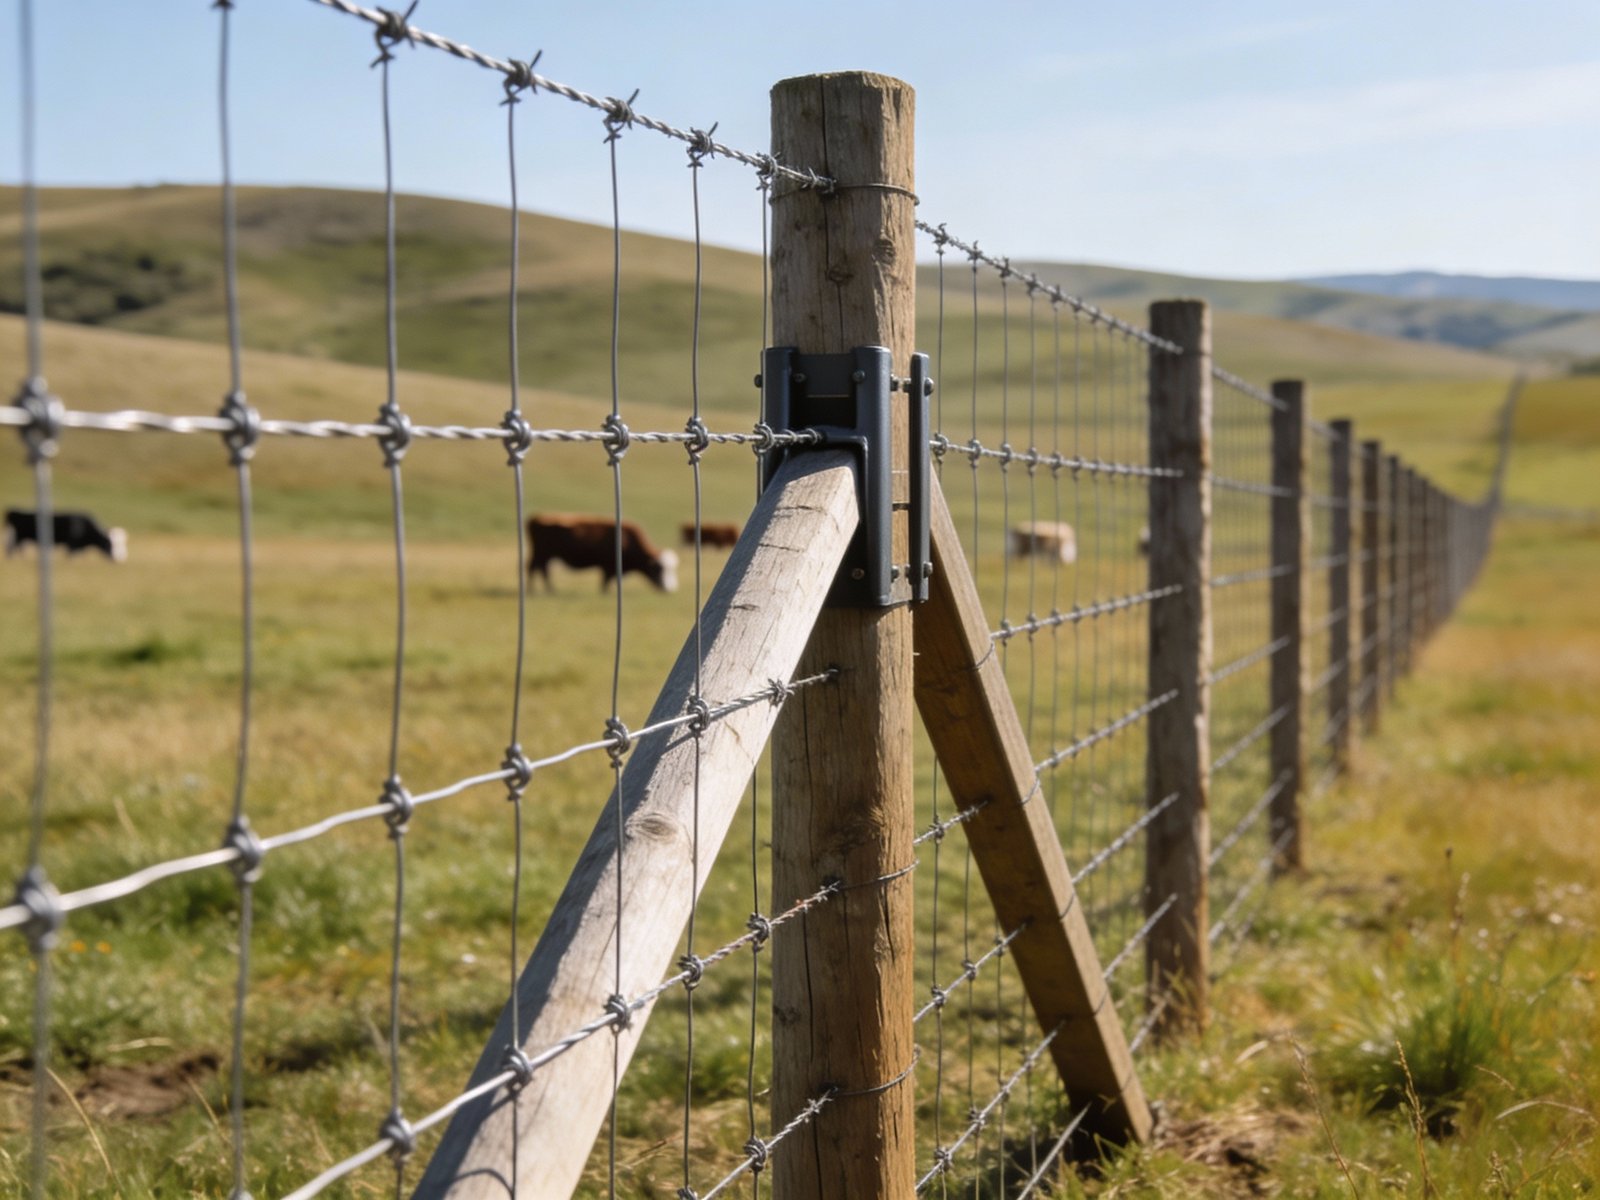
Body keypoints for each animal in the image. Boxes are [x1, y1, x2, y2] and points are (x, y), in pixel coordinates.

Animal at [527, 514, 678, 592]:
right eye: (659, 569)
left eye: (672, 569)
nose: (670, 589)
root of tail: (536, 517)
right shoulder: (608, 566)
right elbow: (605, 582)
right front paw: (605, 593)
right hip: (542, 553)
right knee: (537, 569)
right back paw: (542, 590)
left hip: (543, 555)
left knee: (539, 569)